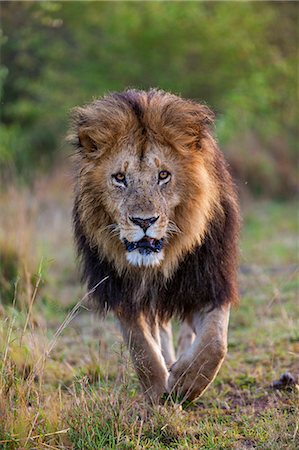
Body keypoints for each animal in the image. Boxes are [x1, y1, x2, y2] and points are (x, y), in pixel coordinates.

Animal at [69, 88, 240, 404]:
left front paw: (185, 384)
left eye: (163, 175)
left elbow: (215, 343)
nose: (144, 221)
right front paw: (158, 391)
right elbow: (141, 347)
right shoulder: (122, 290)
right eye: (119, 178)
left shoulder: (210, 281)